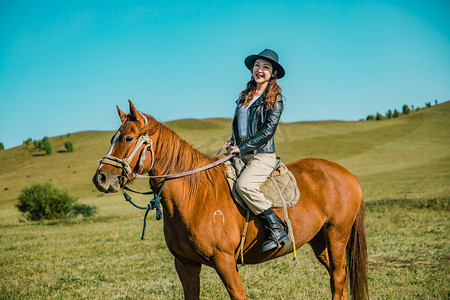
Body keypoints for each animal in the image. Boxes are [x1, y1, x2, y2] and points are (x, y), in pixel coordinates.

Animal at [93, 101, 368, 300]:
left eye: (128, 138)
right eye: (112, 139)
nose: (101, 178)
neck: (195, 197)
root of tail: (347, 174)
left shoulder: (224, 262)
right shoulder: (185, 264)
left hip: (337, 234)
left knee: (339, 278)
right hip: (320, 241)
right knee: (337, 279)